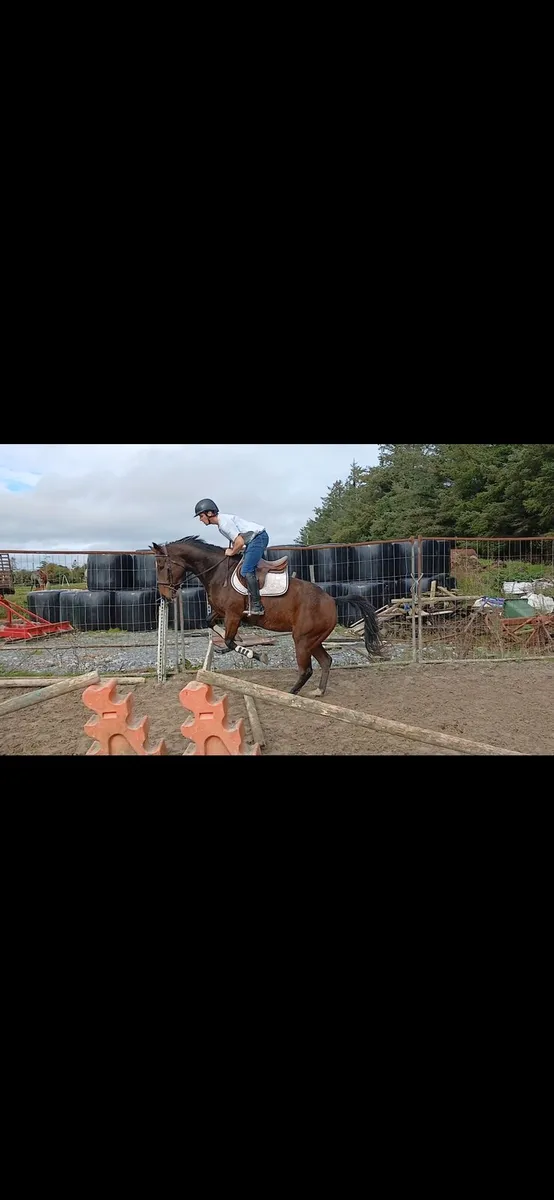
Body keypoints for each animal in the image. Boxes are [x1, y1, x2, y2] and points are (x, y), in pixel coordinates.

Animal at [151, 537, 382, 697]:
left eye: (162, 566)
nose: (164, 596)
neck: (218, 572)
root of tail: (332, 599)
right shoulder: (221, 612)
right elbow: (211, 624)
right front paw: (224, 648)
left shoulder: (233, 615)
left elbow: (230, 639)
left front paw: (258, 655)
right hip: (313, 640)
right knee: (326, 661)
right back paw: (318, 691)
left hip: (302, 639)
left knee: (306, 669)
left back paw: (290, 693)